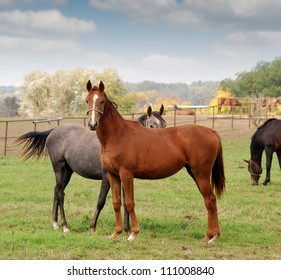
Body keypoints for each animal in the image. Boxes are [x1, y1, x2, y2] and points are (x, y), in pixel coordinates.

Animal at [16, 106, 165, 233]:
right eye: (152, 125)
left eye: (164, 125)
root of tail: (53, 131)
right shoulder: (107, 178)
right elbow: (101, 201)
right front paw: (93, 227)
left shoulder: (125, 178)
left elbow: (126, 202)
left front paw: (128, 230)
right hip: (59, 169)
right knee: (60, 193)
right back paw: (65, 226)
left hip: (67, 172)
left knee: (57, 190)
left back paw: (55, 223)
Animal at [86, 80, 225, 243]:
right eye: (87, 100)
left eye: (101, 101)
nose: (92, 124)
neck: (118, 135)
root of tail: (211, 131)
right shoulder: (112, 175)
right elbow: (116, 203)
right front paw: (116, 233)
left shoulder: (126, 174)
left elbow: (129, 203)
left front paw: (133, 234)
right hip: (195, 173)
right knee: (212, 200)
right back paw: (214, 235)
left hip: (201, 174)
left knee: (209, 200)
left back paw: (209, 237)